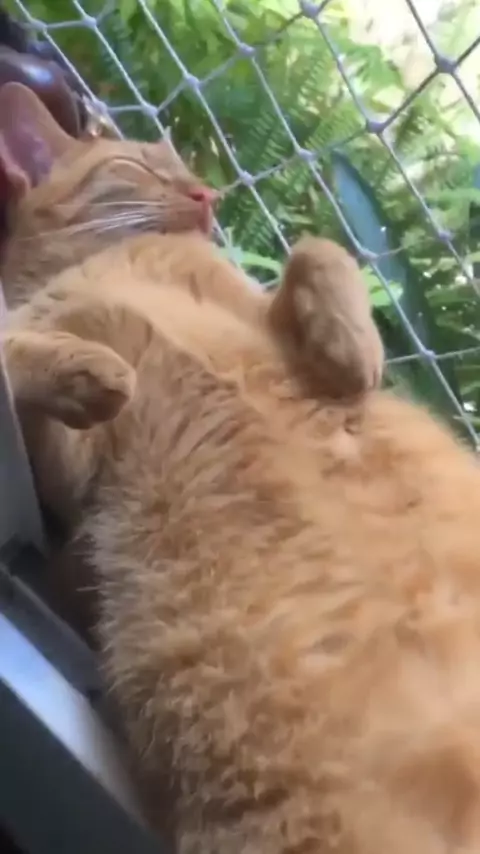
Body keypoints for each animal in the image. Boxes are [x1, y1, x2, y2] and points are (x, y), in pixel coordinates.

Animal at [3, 82, 480, 854]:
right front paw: (88, 369)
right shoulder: (69, 469)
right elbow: (27, 355)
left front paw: (351, 350)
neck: (116, 262)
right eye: (140, 166)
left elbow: (316, 250)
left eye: (183, 164)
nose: (209, 193)